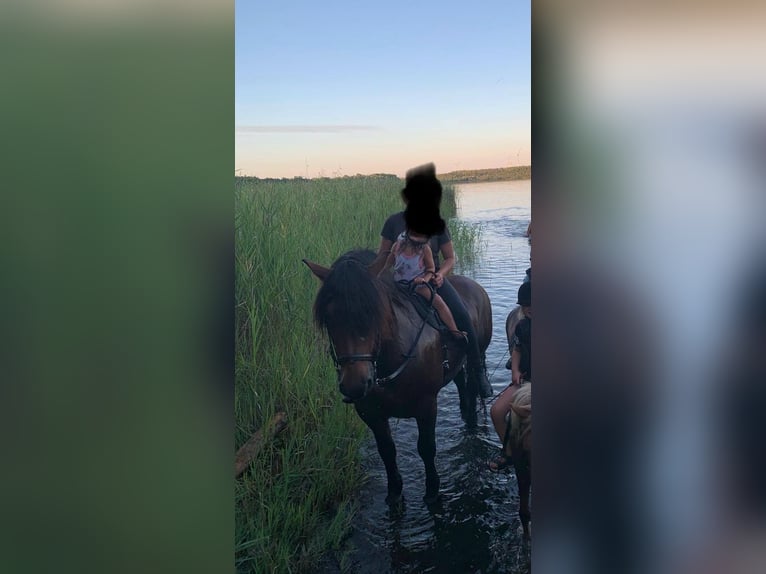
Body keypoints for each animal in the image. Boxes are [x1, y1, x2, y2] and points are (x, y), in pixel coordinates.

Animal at [303, 249, 492, 505]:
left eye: (372, 312)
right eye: (329, 318)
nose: (354, 385)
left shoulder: (427, 406)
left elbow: (426, 448)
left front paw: (432, 492)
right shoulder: (370, 412)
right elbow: (387, 451)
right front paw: (394, 492)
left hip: (476, 353)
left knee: (473, 383)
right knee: (461, 384)